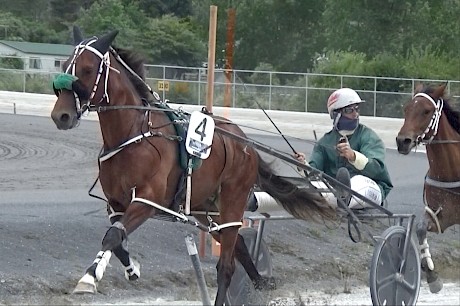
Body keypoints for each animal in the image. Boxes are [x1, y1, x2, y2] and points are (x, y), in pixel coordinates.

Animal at [50, 26, 336, 306]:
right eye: (64, 65)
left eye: (88, 69)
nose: (60, 115)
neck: (133, 134)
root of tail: (246, 144)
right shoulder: (115, 204)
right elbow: (117, 240)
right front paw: (131, 269)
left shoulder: (146, 200)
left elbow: (112, 236)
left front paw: (88, 279)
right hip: (208, 209)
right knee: (240, 247)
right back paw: (260, 281)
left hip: (233, 202)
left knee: (227, 266)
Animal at [396, 83, 460, 294]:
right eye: (406, 109)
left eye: (426, 111)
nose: (403, 141)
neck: (451, 172)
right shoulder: (442, 215)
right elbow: (421, 228)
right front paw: (432, 276)